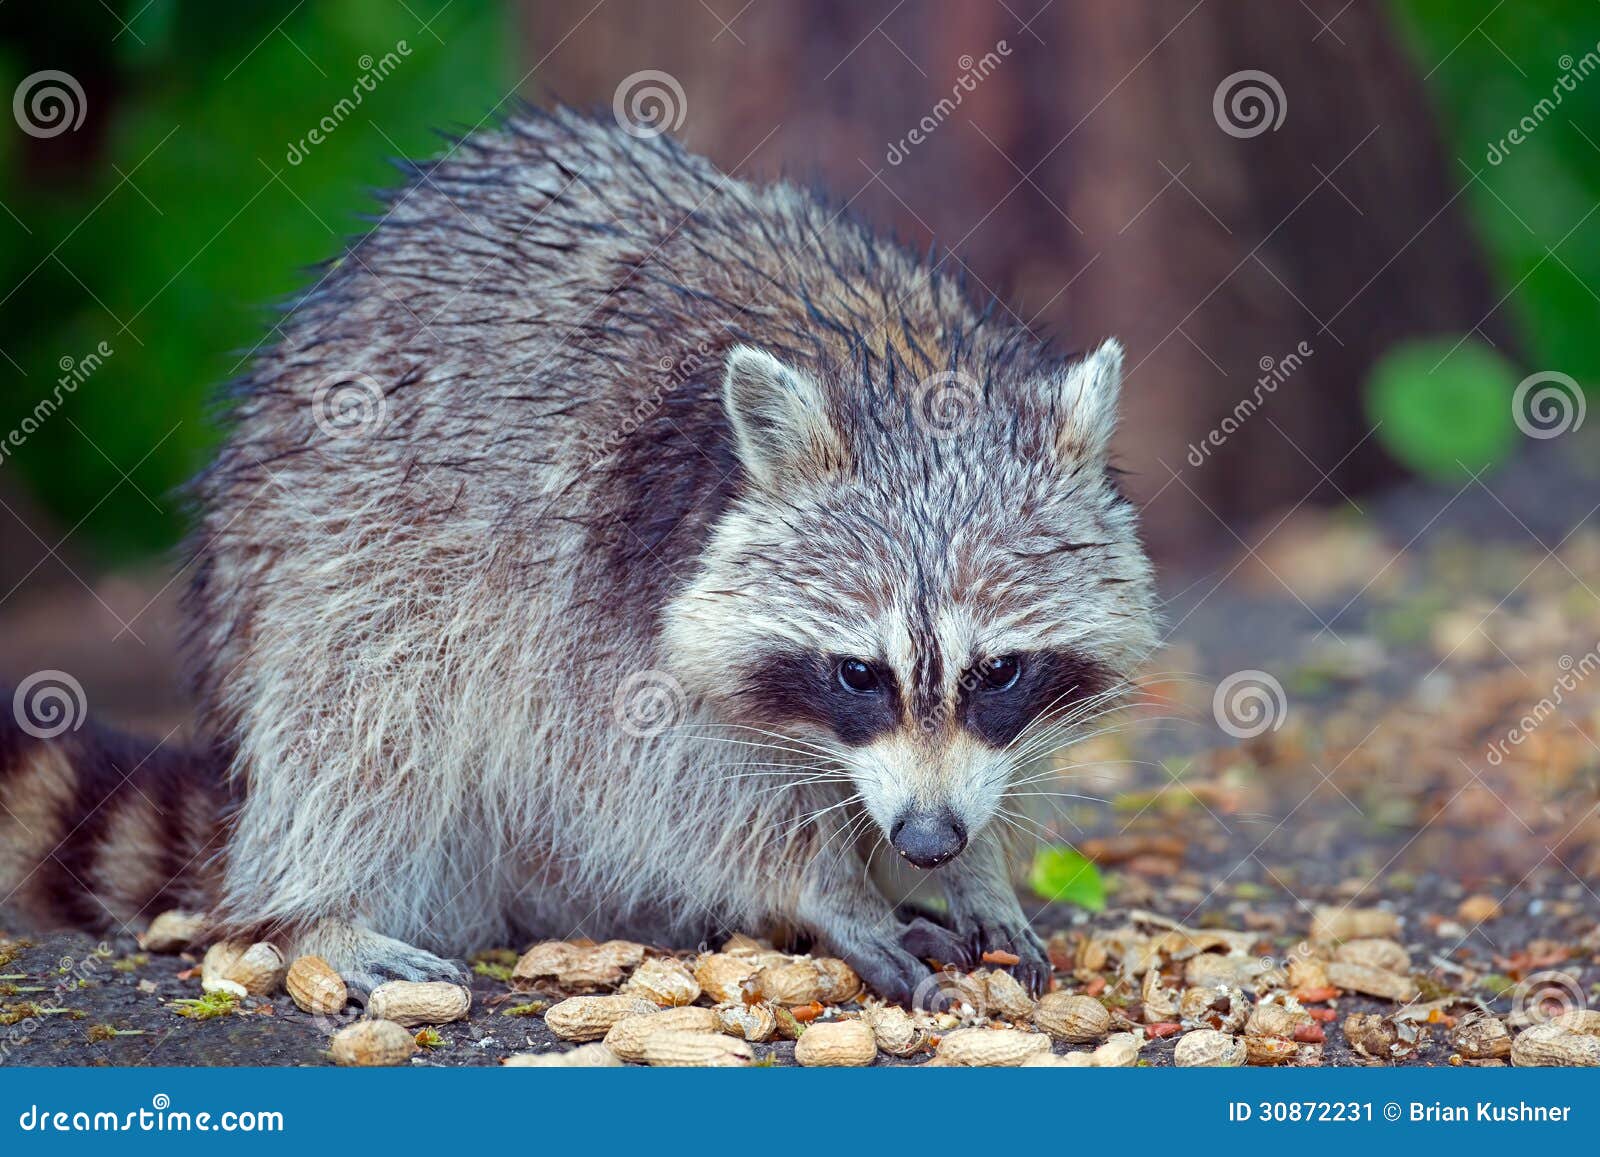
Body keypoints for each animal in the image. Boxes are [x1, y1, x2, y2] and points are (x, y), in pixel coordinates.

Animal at [0, 108, 1156, 1002]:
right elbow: (647, 782)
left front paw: (981, 865)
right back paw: (319, 904)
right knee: (362, 707)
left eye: (998, 670)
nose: (926, 840)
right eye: (856, 673)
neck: (903, 370)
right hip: (316, 534)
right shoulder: (601, 591)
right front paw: (826, 886)